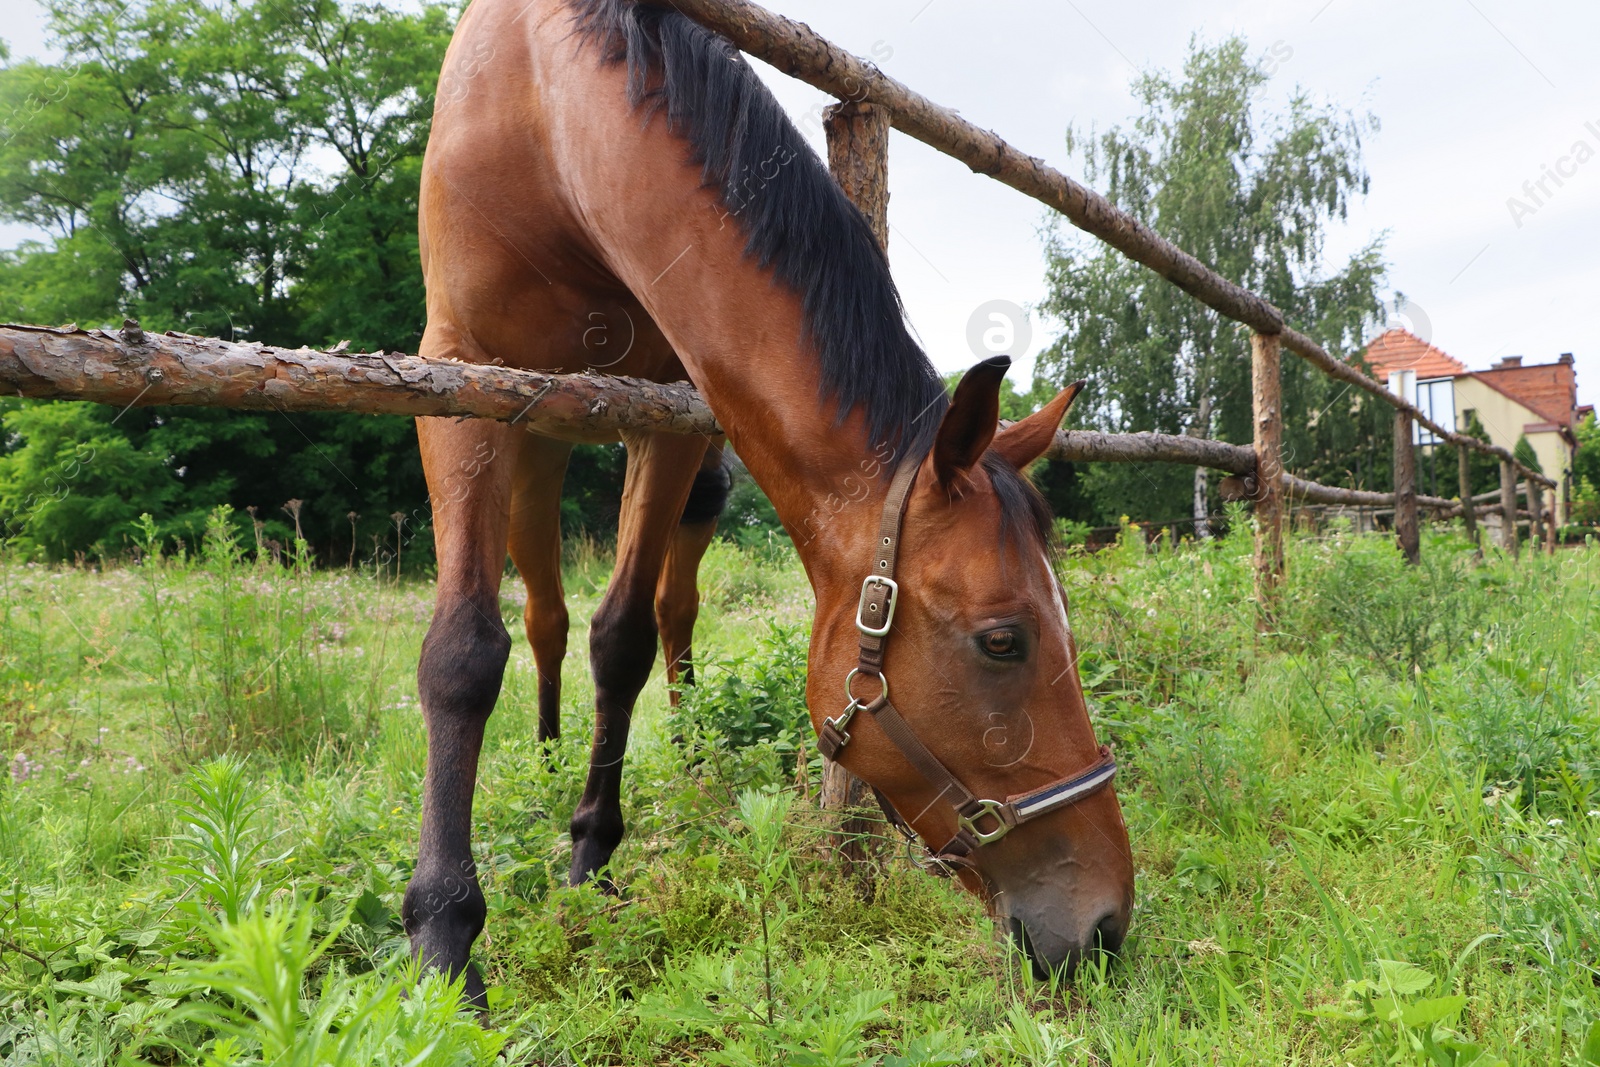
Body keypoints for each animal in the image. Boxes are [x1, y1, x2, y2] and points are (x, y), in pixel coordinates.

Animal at [406, 0, 1132, 1011]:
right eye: (1002, 640)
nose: (1106, 924)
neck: (546, 111)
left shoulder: (670, 408)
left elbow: (624, 636)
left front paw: (592, 858)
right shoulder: (456, 375)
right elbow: (465, 655)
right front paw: (443, 940)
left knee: (655, 608)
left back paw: (682, 759)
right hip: (528, 446)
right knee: (542, 614)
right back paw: (547, 759)